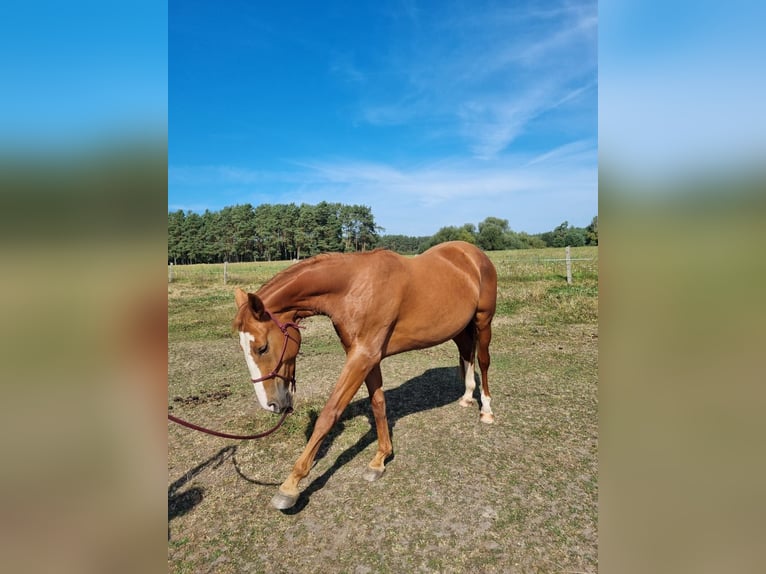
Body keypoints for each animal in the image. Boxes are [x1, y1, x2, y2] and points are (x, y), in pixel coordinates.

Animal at [234, 241, 498, 510]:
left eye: (262, 348)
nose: (271, 405)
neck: (353, 287)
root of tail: (472, 253)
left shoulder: (362, 357)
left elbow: (329, 414)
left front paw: (290, 485)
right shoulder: (367, 357)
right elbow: (378, 403)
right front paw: (380, 459)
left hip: (483, 321)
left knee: (483, 362)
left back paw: (486, 410)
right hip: (460, 328)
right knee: (466, 355)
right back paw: (466, 397)